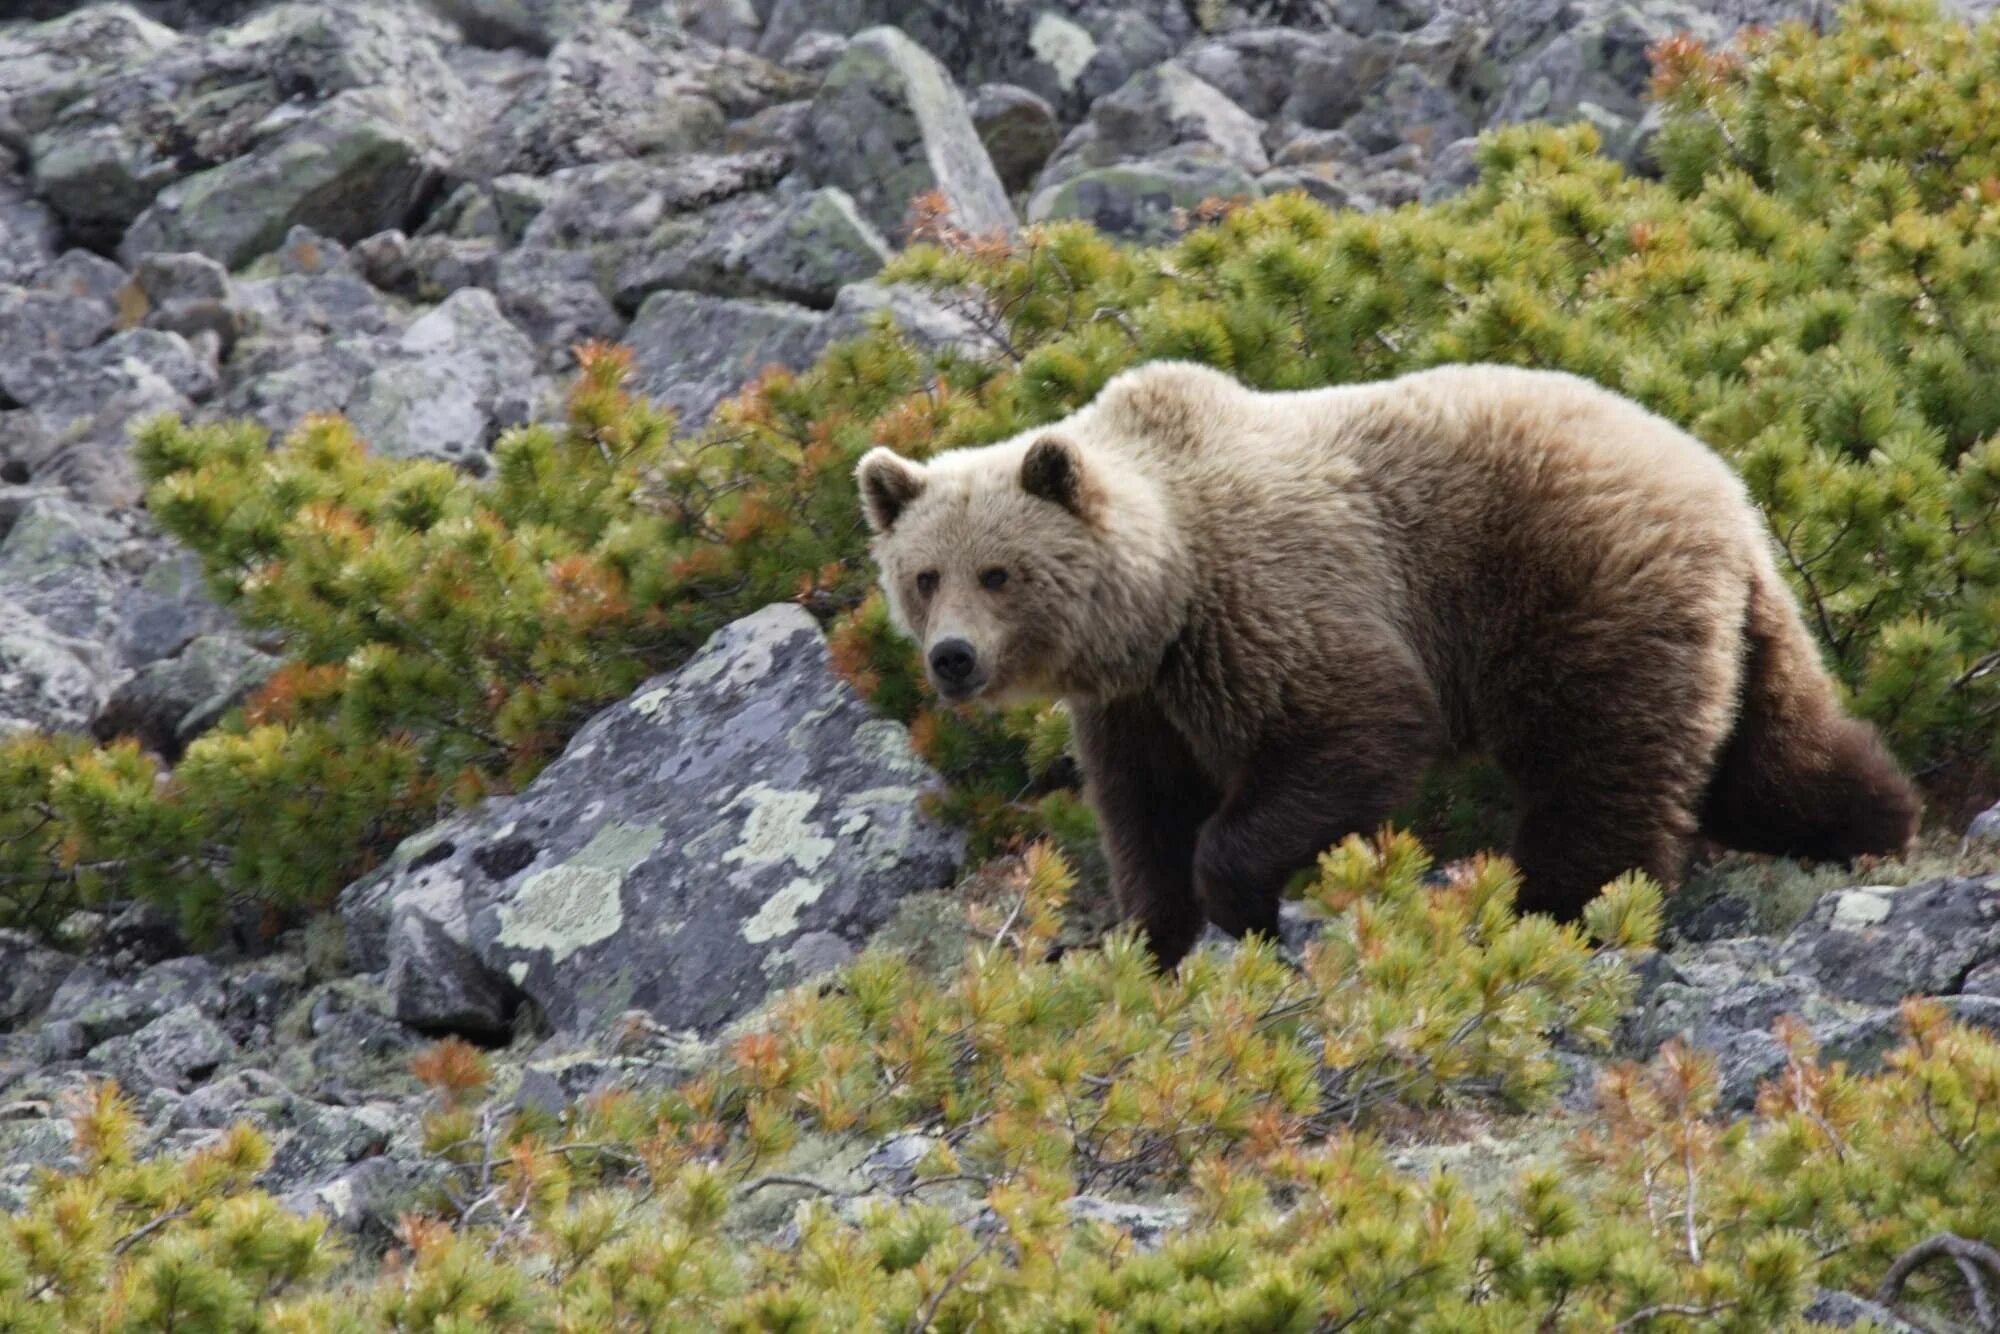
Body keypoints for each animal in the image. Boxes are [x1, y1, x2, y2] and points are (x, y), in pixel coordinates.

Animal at [856, 360, 1920, 964]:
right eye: (923, 575)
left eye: (999, 572)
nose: (952, 659)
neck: (1162, 601)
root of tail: (1726, 489)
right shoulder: (1142, 703)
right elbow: (1144, 812)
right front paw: (1142, 941)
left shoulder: (1274, 608)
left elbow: (1356, 730)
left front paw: (1240, 901)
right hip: (1734, 627)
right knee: (1771, 755)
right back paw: (1878, 824)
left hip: (1576, 589)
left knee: (1600, 765)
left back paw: (1556, 908)